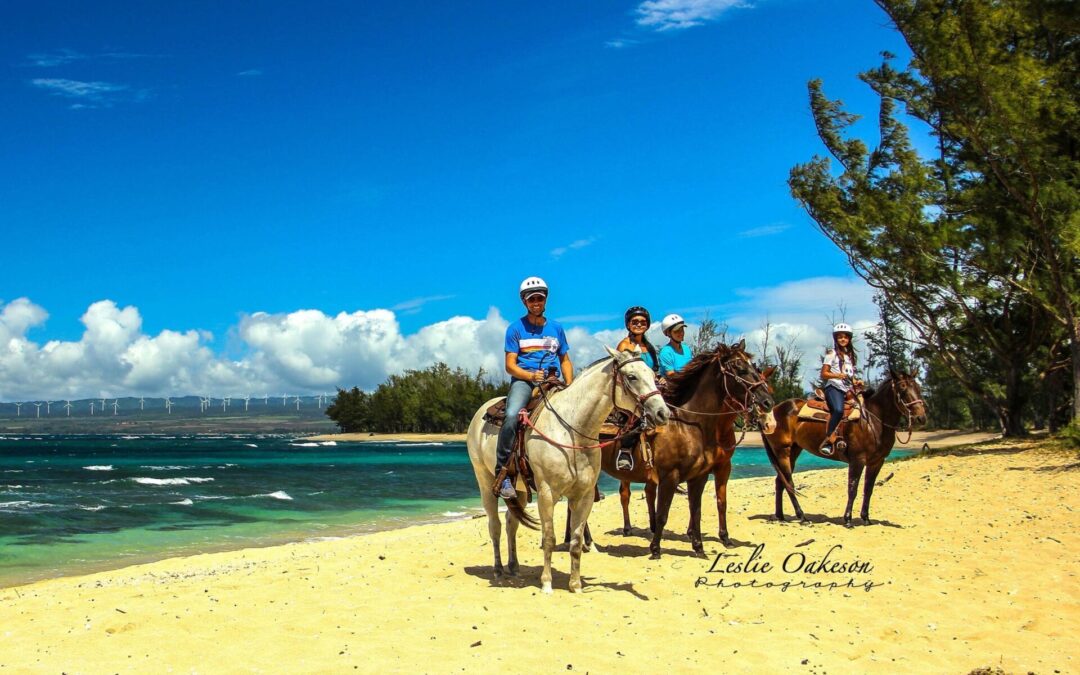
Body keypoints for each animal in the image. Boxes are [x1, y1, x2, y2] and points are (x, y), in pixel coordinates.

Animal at [468, 345, 669, 591]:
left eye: (652, 375)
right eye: (632, 376)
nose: (663, 413)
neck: (571, 431)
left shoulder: (583, 496)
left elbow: (576, 540)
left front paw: (575, 584)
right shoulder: (547, 494)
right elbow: (549, 538)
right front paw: (547, 583)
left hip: (520, 489)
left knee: (510, 523)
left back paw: (514, 567)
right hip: (485, 481)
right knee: (494, 525)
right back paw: (498, 570)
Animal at [760, 369, 928, 527]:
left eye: (917, 387)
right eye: (902, 387)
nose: (921, 418)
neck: (872, 421)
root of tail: (773, 412)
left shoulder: (877, 462)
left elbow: (868, 489)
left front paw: (866, 518)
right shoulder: (858, 460)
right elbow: (852, 489)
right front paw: (848, 520)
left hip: (794, 451)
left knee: (780, 482)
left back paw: (780, 516)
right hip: (783, 452)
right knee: (789, 483)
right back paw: (802, 516)